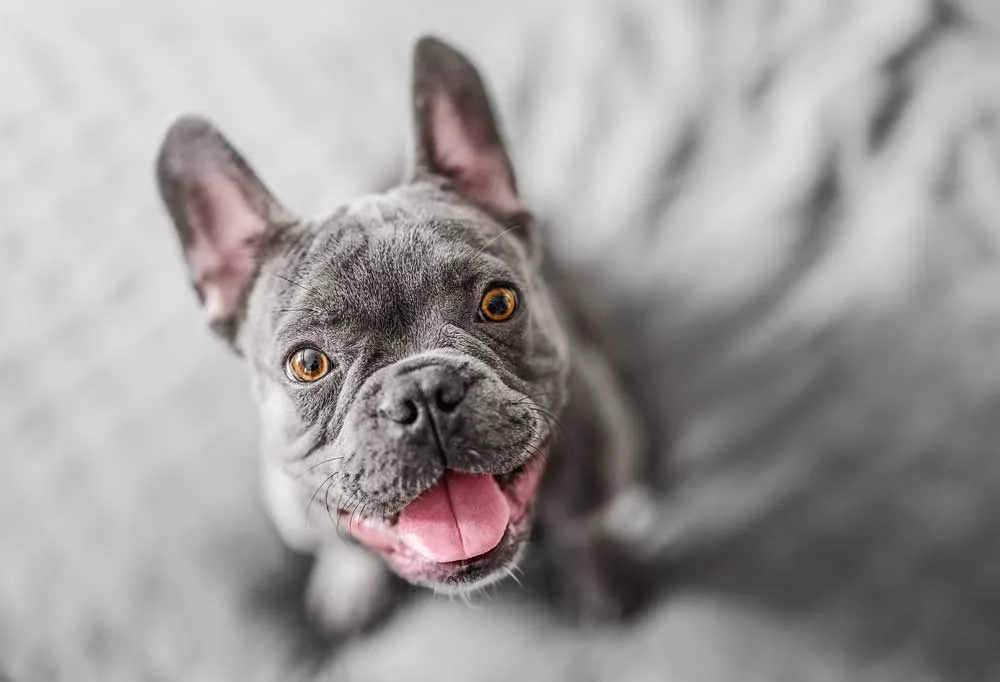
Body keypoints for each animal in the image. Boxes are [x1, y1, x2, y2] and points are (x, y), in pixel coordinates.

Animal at [155, 35, 652, 632]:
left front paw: (598, 572)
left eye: (500, 302)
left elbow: (586, 525)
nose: (423, 392)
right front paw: (350, 583)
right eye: (307, 363)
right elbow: (342, 547)